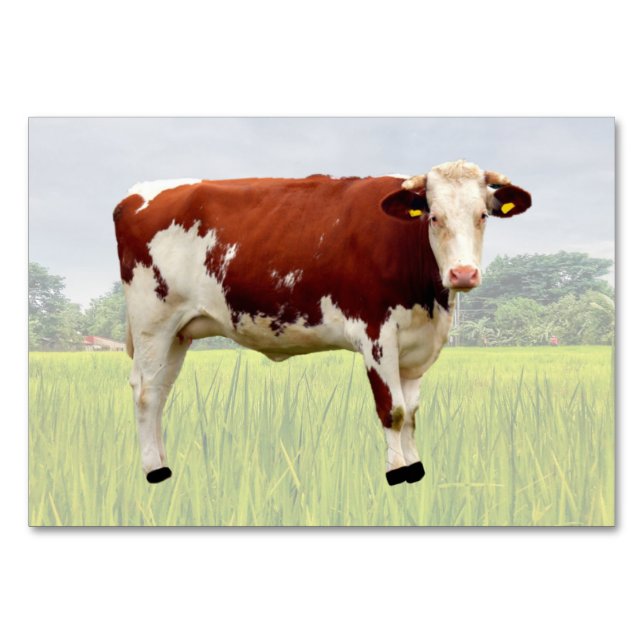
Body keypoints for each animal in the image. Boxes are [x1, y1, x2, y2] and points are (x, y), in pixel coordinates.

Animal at [113, 160, 532, 486]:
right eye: (434, 216)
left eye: (482, 216)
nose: (463, 273)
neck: (429, 301)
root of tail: (134, 194)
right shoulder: (376, 333)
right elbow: (393, 410)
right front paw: (396, 471)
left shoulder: (417, 344)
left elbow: (411, 413)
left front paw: (415, 467)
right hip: (153, 321)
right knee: (146, 392)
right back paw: (154, 470)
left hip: (178, 332)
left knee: (161, 392)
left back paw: (162, 459)